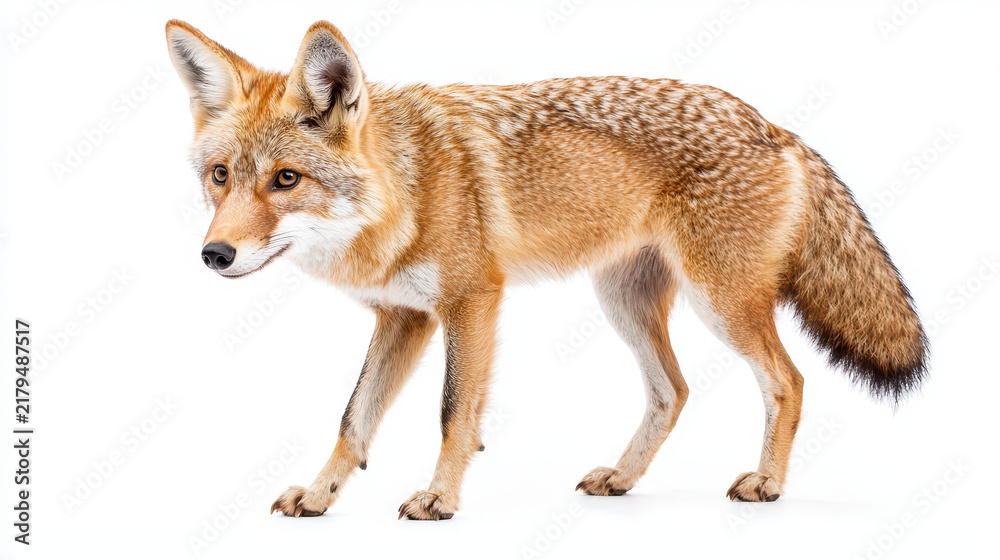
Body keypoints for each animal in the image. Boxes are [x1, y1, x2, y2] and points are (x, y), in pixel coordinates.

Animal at [165, 19, 928, 519]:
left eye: (286, 180)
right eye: (221, 176)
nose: (214, 255)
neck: (407, 190)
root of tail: (776, 125)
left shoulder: (472, 302)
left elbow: (453, 413)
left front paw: (440, 498)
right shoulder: (404, 317)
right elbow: (354, 420)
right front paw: (321, 495)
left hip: (722, 304)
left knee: (787, 381)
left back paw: (768, 486)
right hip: (624, 302)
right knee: (674, 391)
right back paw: (623, 479)